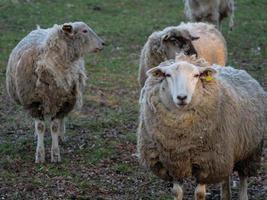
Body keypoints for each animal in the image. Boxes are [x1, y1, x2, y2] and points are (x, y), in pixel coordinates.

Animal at [5, 21, 105, 162]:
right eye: (84, 31)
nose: (103, 44)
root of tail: (40, 29)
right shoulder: (33, 102)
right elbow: (40, 127)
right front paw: (40, 154)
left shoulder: (64, 101)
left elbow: (55, 127)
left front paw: (55, 153)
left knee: (62, 119)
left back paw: (61, 137)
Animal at [137, 54, 266, 200]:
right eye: (168, 75)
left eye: (196, 75)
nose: (182, 97)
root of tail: (233, 69)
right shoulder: (173, 162)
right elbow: (177, 192)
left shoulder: (207, 162)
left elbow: (199, 193)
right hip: (226, 152)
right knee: (226, 175)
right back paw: (225, 195)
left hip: (249, 151)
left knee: (243, 176)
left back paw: (242, 195)